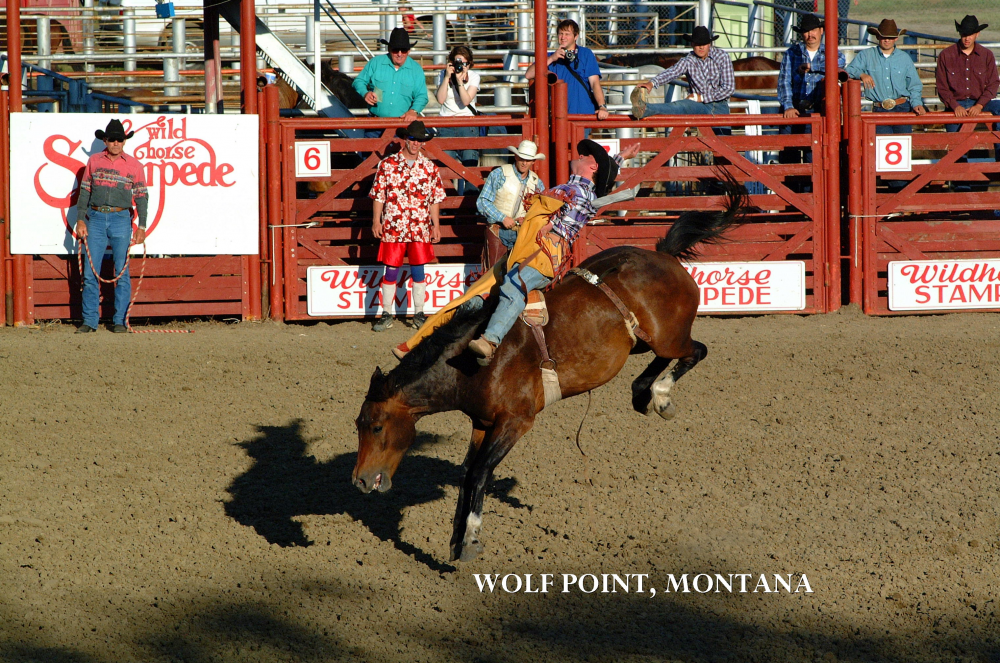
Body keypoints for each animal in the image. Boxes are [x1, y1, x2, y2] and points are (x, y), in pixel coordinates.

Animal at [352, 178, 752, 562]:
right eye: (358, 425)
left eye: (377, 426)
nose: (359, 482)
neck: (470, 365)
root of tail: (662, 256)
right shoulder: (482, 423)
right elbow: (467, 474)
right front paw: (455, 540)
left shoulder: (516, 421)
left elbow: (480, 473)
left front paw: (470, 539)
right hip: (643, 341)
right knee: (659, 360)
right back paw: (641, 392)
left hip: (670, 338)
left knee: (695, 351)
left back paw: (662, 397)